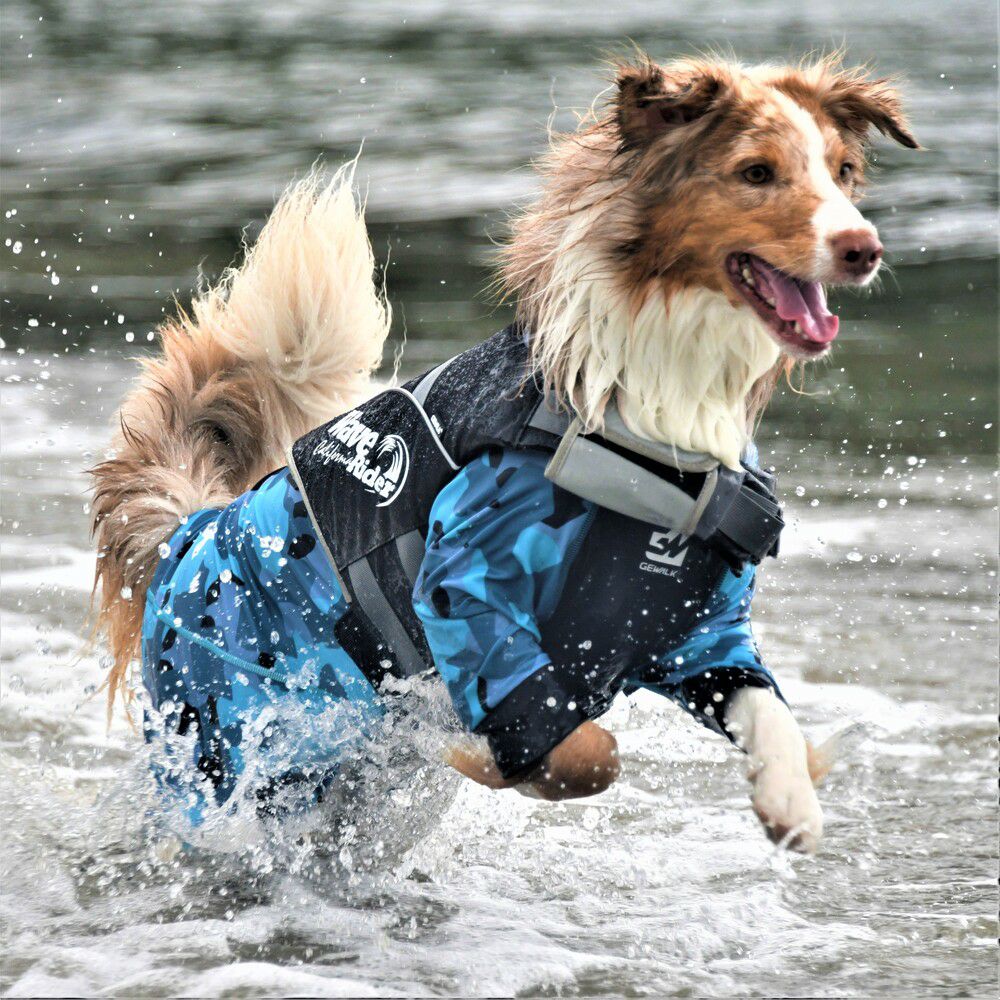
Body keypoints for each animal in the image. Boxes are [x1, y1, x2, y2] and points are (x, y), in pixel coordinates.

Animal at [89, 54, 916, 850]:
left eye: (842, 171)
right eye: (756, 172)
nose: (863, 249)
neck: (650, 437)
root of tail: (187, 532)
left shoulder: (696, 632)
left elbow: (761, 706)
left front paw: (789, 797)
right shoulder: (470, 594)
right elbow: (585, 753)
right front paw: (483, 750)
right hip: (228, 757)